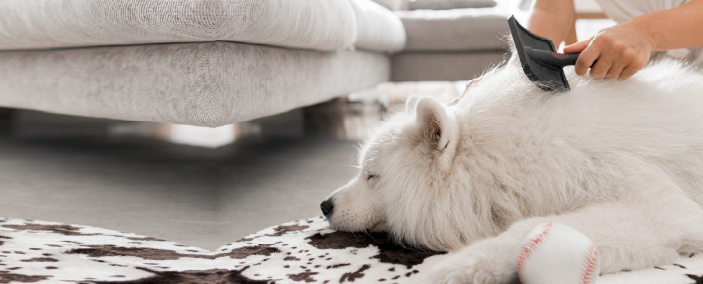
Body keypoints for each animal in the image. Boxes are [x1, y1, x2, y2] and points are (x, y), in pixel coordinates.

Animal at [322, 58, 703, 282]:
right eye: (362, 171)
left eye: (372, 175)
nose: (324, 205)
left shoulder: (651, 207)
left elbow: (526, 231)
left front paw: (452, 268)